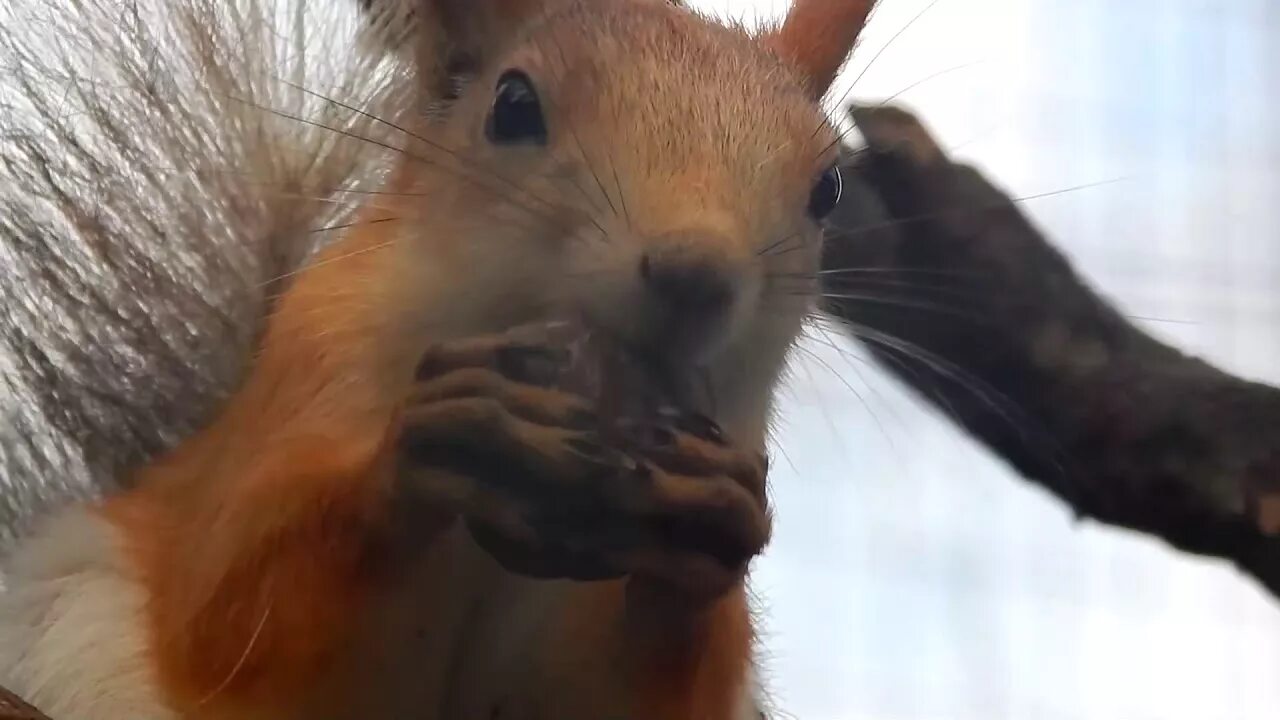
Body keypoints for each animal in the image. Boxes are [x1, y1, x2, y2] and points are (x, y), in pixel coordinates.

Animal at [0, 0, 880, 712]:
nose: (695, 273)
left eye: (830, 188)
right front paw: (432, 446)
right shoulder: (310, 377)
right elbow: (233, 620)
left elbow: (622, 694)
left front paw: (713, 523)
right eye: (512, 105)